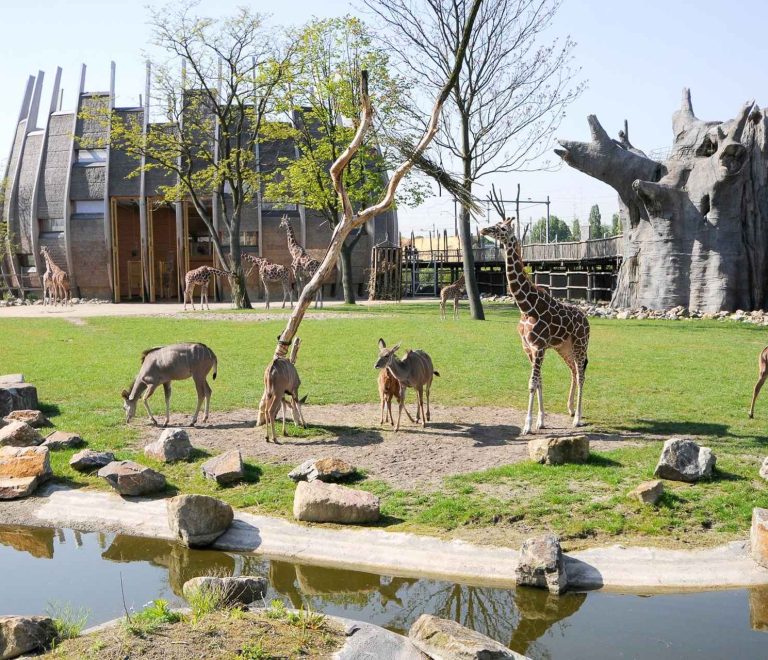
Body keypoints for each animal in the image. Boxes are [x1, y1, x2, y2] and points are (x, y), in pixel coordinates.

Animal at [476, 214, 592, 436]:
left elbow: (532, 383)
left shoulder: (538, 347)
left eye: (503, 228)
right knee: (574, 370)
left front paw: (527, 425)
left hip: (580, 343)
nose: (483, 230)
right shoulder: (528, 348)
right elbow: (539, 382)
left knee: (582, 374)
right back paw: (571, 409)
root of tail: (586, 319)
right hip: (564, 346)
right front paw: (541, 421)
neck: (526, 306)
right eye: (496, 224)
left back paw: (578, 419)